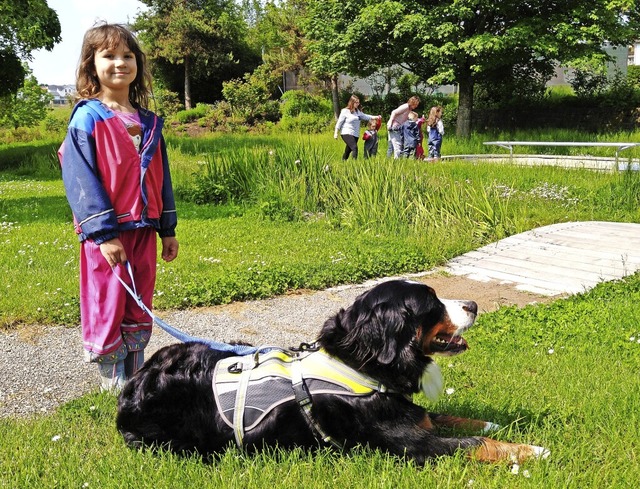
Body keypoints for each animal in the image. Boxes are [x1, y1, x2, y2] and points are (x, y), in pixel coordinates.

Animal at [117, 280, 548, 464]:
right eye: (432, 303)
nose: (473, 304)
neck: (362, 365)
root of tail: (133, 386)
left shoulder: (406, 411)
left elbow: (448, 417)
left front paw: (493, 423)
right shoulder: (413, 446)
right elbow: (473, 444)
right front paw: (532, 450)